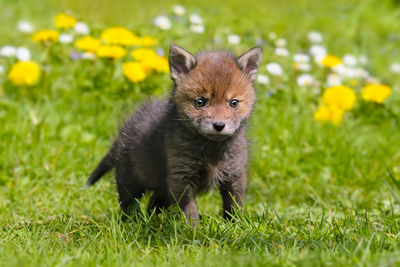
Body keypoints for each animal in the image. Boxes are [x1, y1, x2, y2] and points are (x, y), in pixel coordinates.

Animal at [84, 44, 262, 222]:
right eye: (199, 102)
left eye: (234, 103)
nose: (219, 125)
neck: (211, 150)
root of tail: (123, 132)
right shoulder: (180, 177)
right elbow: (190, 211)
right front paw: (194, 228)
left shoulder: (235, 174)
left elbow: (233, 206)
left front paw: (234, 224)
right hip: (130, 183)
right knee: (128, 206)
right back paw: (131, 223)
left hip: (161, 189)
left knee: (152, 203)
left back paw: (153, 221)